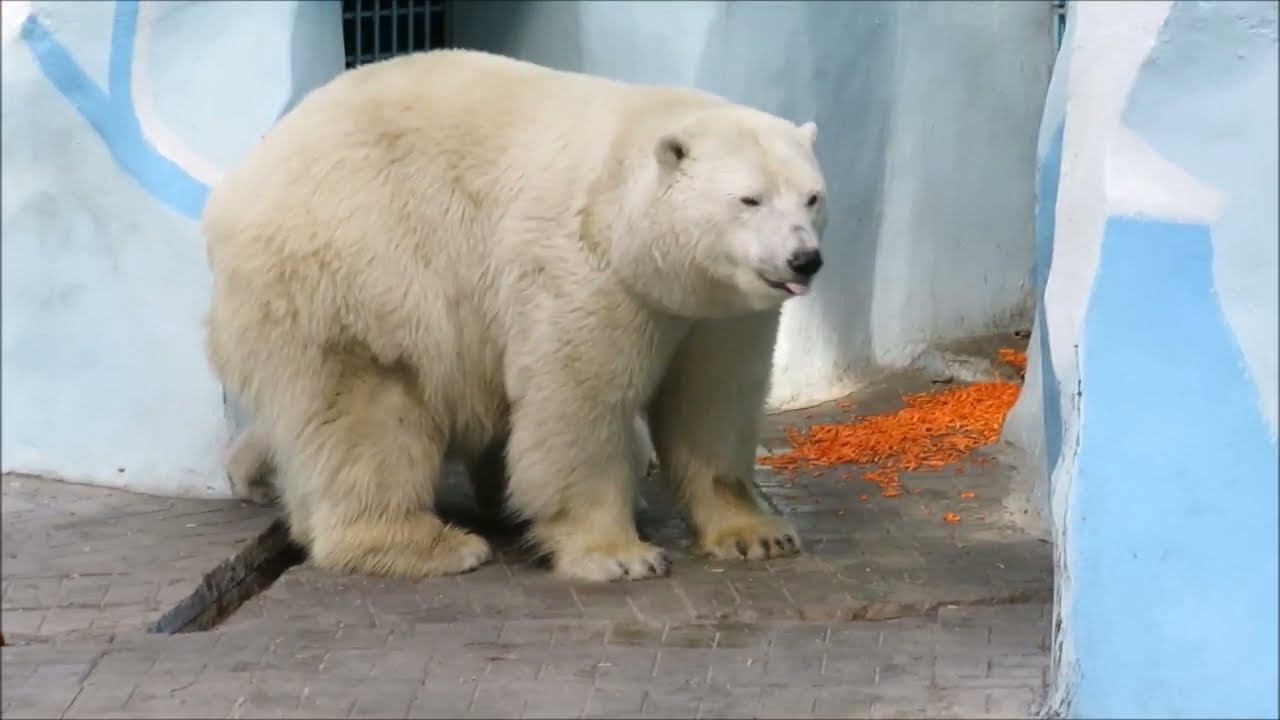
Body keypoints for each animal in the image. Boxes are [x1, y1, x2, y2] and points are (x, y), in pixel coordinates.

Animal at [202, 48, 828, 582]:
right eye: (749, 199)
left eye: (812, 197)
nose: (805, 258)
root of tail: (239, 183)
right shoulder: (586, 270)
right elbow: (578, 398)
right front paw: (618, 554)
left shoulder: (720, 310)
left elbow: (713, 401)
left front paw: (757, 533)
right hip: (358, 264)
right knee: (367, 408)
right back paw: (422, 542)